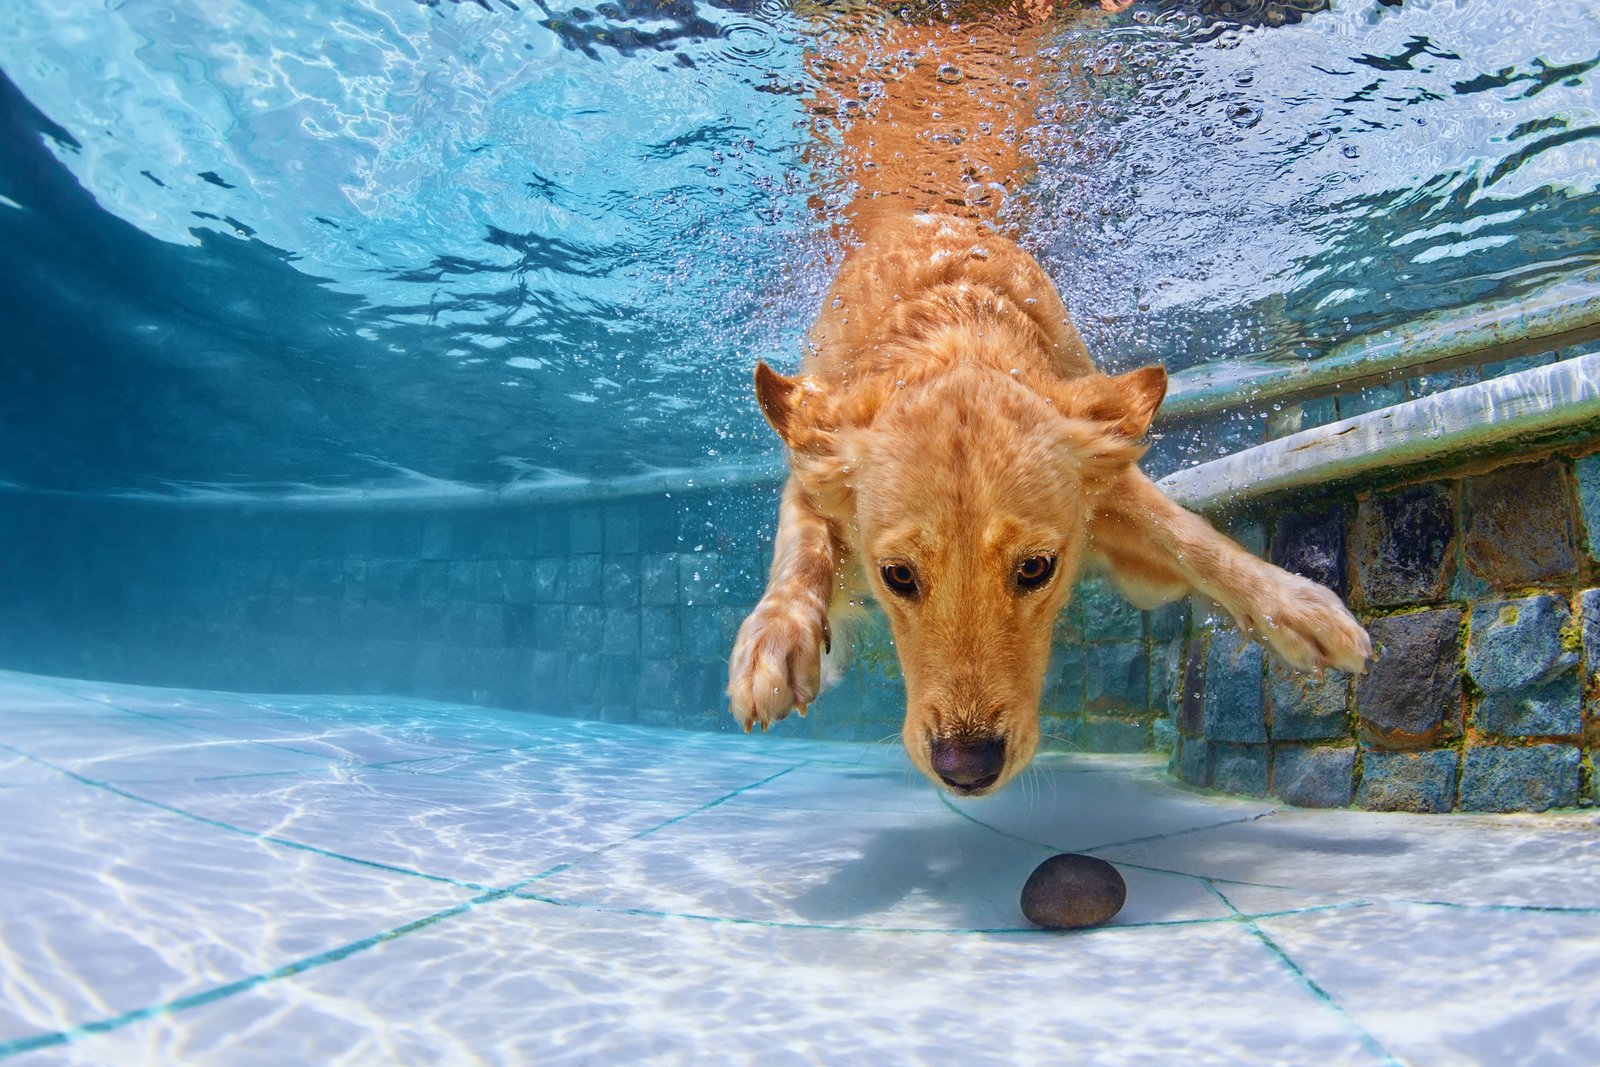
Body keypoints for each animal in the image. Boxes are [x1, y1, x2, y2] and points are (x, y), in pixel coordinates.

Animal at [726, 2, 1363, 793]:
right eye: (897, 576)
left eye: (1036, 570)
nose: (966, 768)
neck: (956, 327)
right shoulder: (814, 448)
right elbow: (803, 548)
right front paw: (776, 639)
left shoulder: (1106, 474)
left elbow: (1189, 537)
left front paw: (1293, 605)